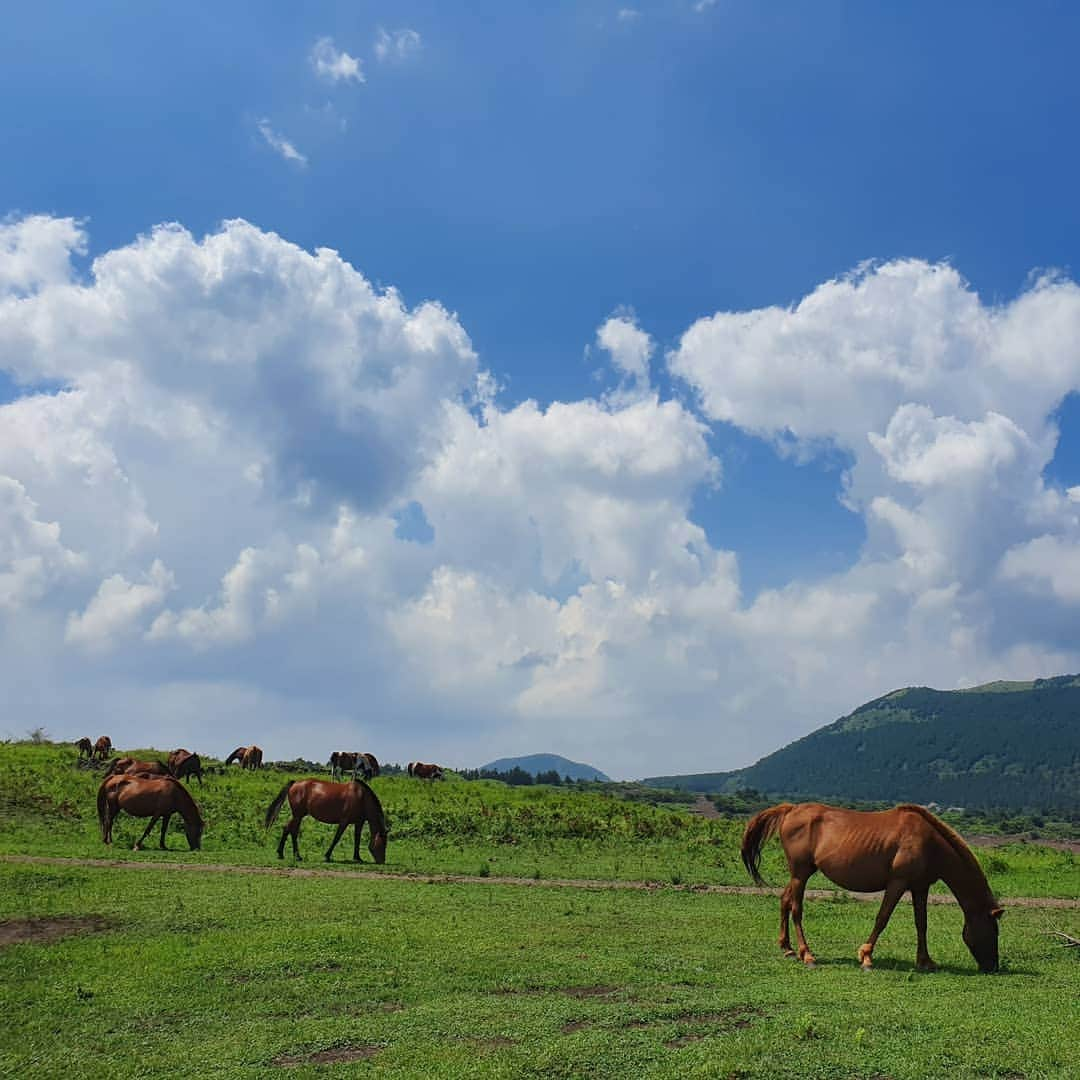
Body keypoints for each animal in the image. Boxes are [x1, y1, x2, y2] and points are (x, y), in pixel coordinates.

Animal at [743, 803, 1002, 972]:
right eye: (994, 930)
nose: (993, 967)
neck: (929, 842)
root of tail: (791, 809)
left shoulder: (920, 887)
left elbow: (921, 924)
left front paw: (925, 961)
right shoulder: (897, 883)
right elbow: (882, 918)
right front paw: (866, 956)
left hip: (800, 874)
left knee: (784, 901)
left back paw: (787, 948)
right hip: (801, 874)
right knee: (796, 909)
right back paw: (807, 954)